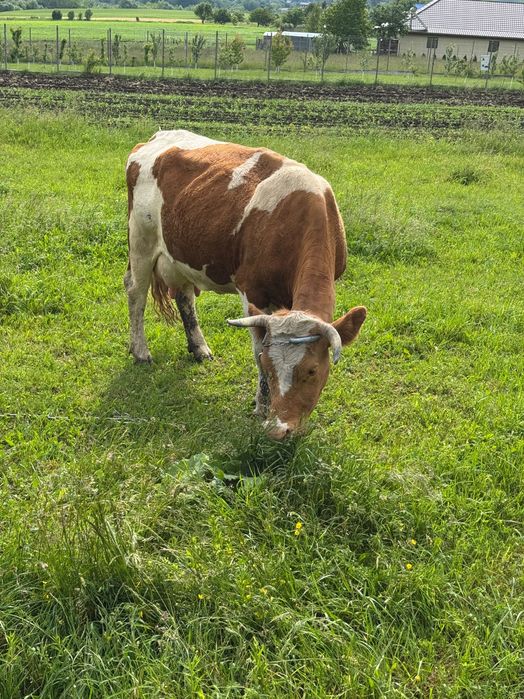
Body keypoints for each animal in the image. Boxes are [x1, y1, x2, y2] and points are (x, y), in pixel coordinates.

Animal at [125, 129, 366, 440]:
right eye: (269, 366)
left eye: (312, 371)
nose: (279, 429)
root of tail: (156, 137)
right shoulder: (252, 291)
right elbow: (257, 347)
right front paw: (262, 407)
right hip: (140, 241)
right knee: (136, 294)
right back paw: (141, 352)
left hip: (181, 253)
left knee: (185, 297)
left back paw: (199, 348)